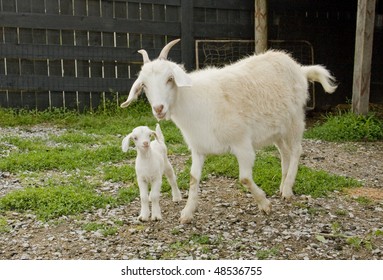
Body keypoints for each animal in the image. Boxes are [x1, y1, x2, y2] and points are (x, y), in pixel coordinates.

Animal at [120, 39, 336, 224]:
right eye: (144, 85)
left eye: (170, 78)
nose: (159, 109)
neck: (196, 101)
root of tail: (300, 68)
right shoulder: (198, 147)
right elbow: (193, 178)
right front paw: (187, 213)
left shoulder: (242, 144)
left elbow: (245, 178)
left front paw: (264, 204)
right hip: (276, 129)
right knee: (285, 152)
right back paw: (283, 186)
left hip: (294, 119)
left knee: (297, 150)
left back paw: (288, 189)